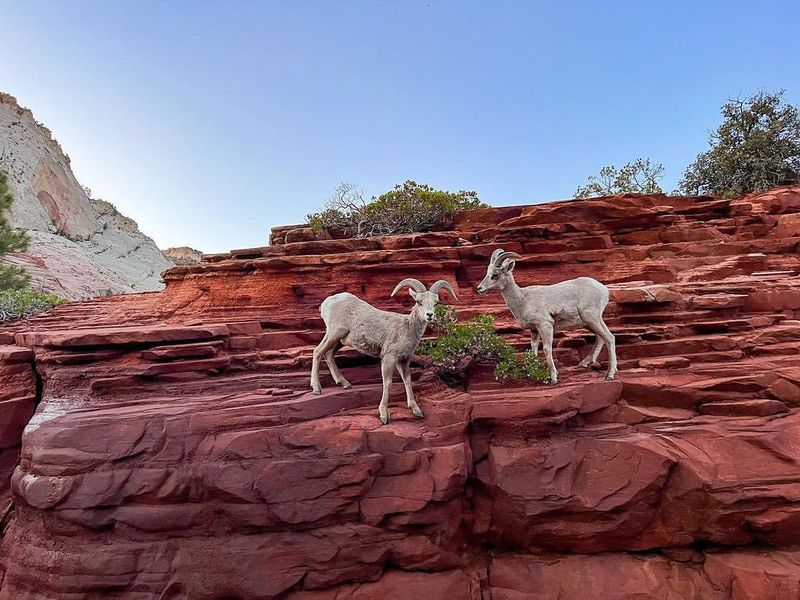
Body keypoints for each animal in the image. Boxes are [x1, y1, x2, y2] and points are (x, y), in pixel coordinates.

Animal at [310, 278, 460, 424]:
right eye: (419, 301)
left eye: (436, 303)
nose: (429, 315)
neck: (407, 329)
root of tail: (327, 302)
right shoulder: (389, 358)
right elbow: (387, 383)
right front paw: (384, 415)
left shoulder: (403, 360)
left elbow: (407, 380)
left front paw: (416, 410)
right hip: (335, 332)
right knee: (318, 351)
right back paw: (317, 388)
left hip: (340, 340)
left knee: (328, 354)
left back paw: (344, 384)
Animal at [476, 248, 620, 384]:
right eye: (487, 272)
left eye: (495, 275)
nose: (479, 288)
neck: (523, 299)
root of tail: (604, 289)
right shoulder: (534, 330)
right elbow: (533, 350)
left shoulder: (545, 326)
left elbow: (546, 349)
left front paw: (553, 378)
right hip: (590, 322)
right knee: (601, 338)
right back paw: (583, 364)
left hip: (591, 318)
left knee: (609, 338)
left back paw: (609, 375)